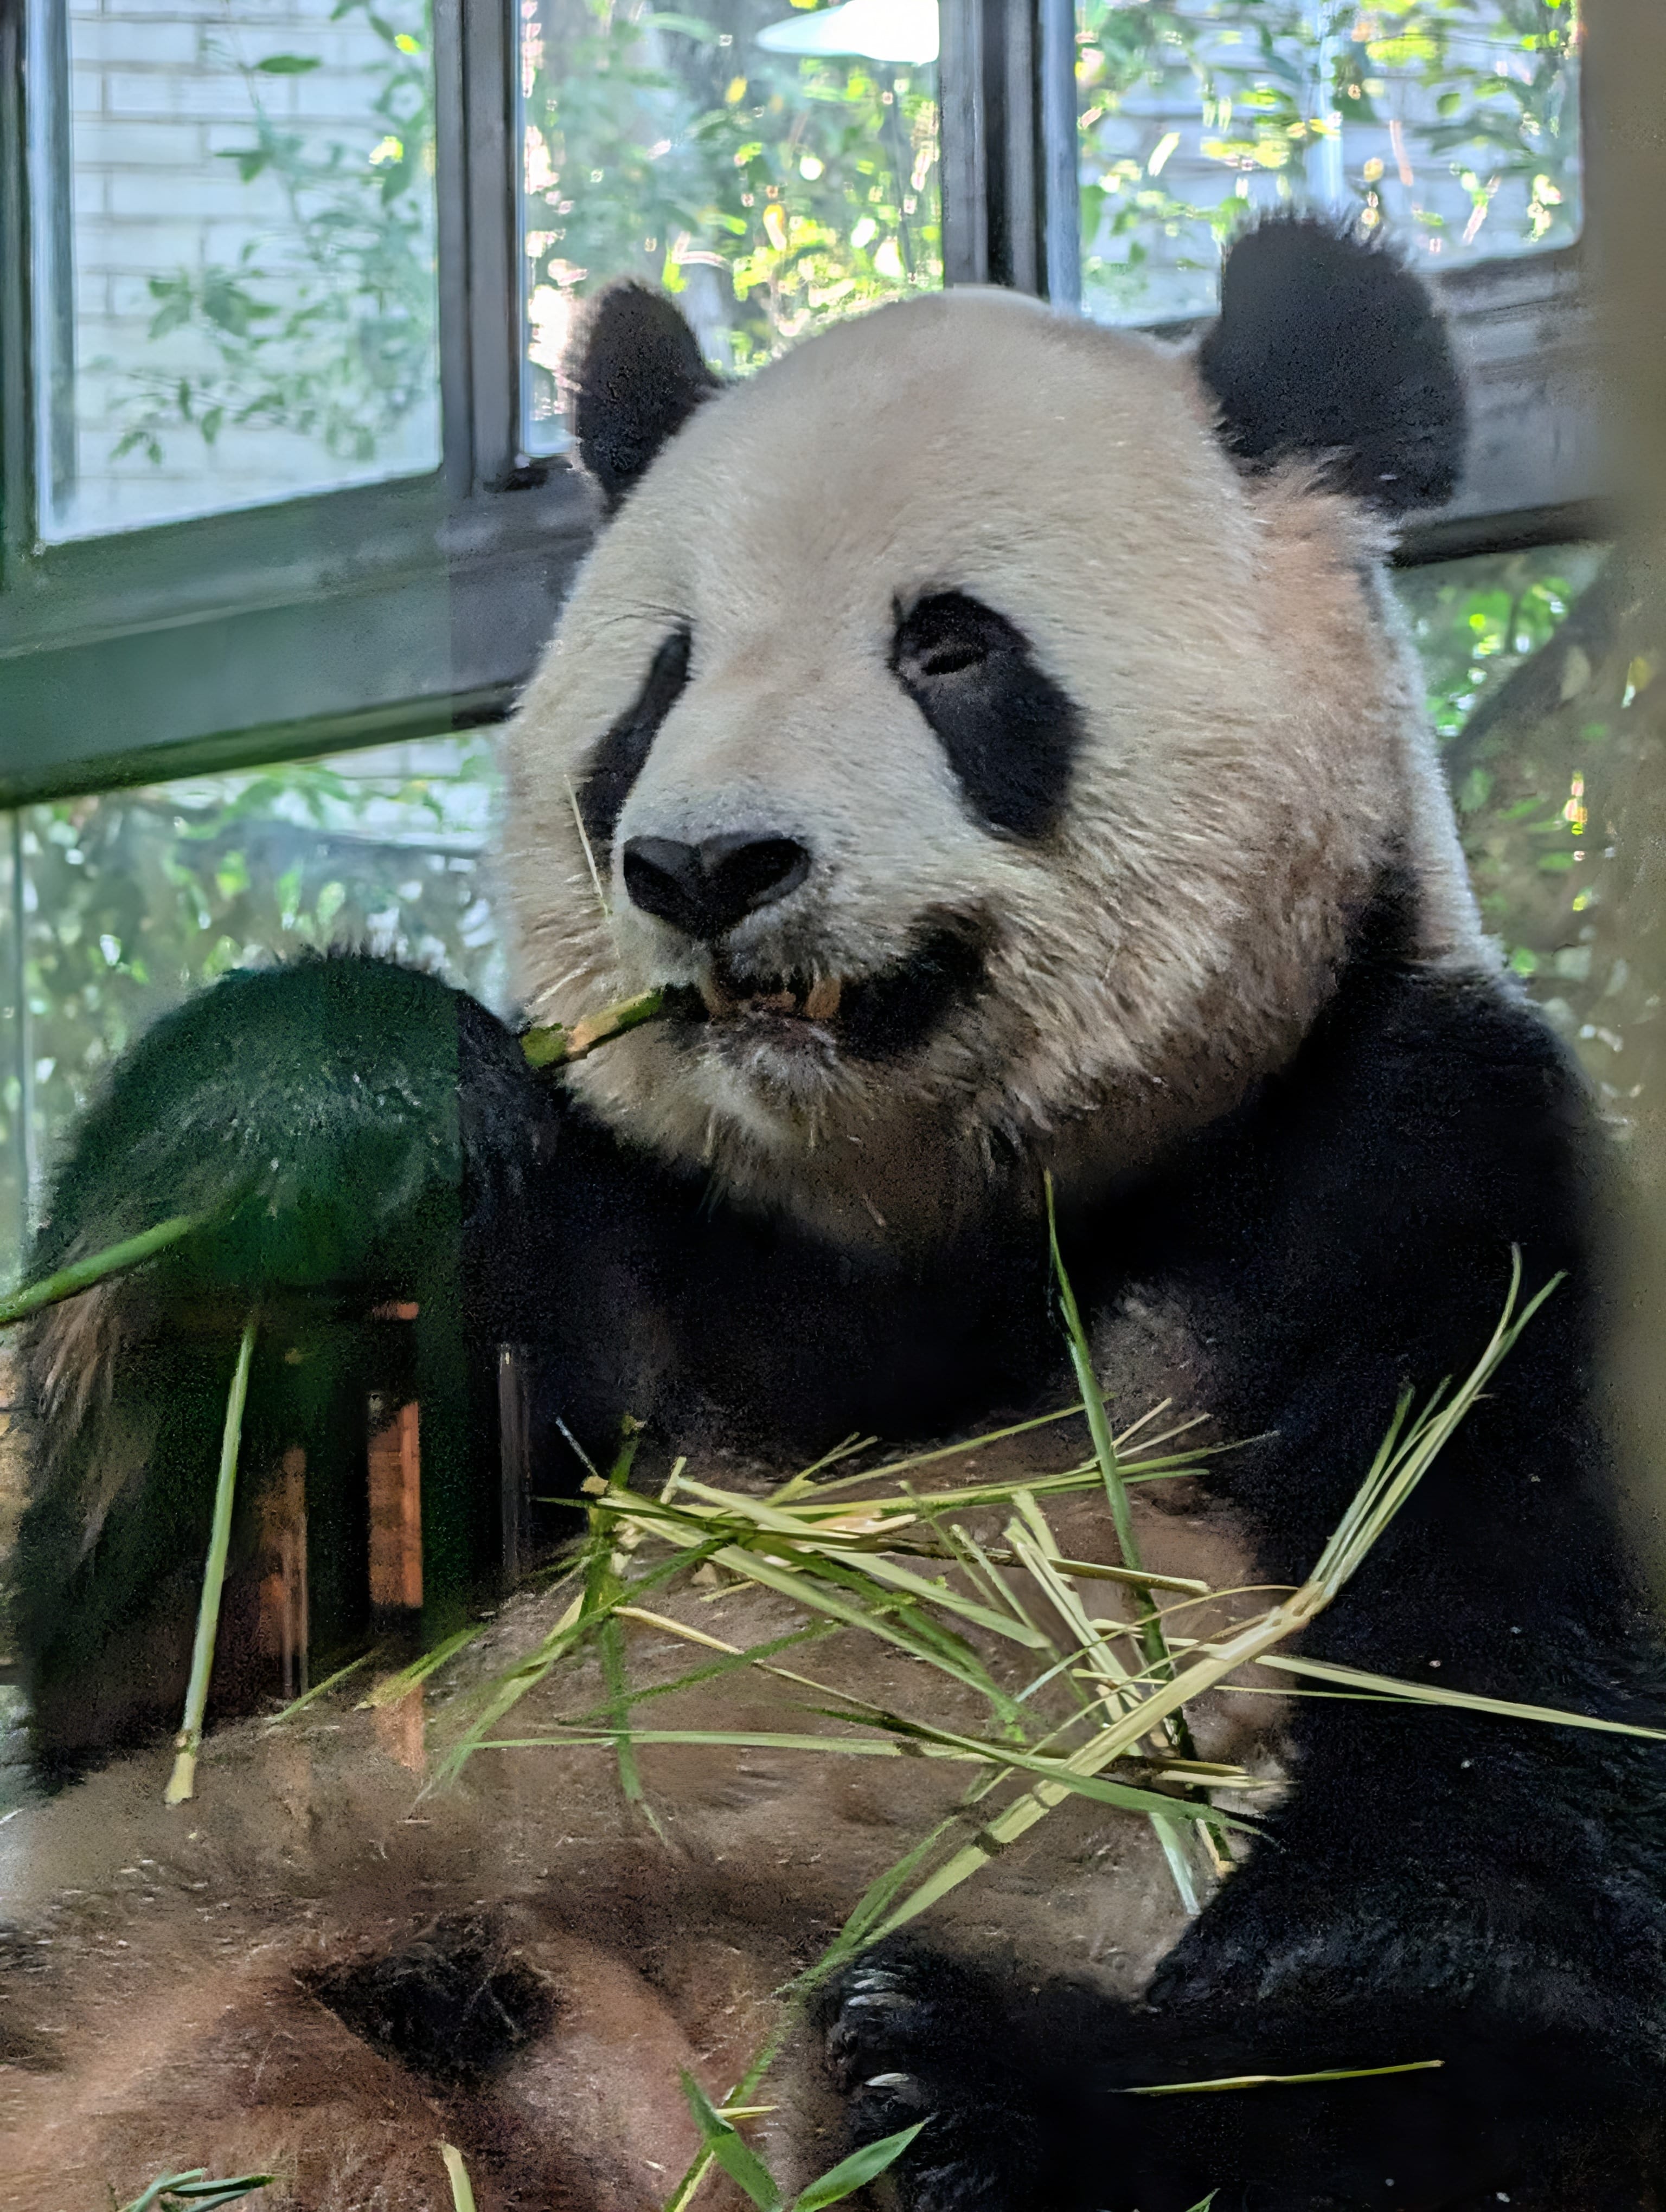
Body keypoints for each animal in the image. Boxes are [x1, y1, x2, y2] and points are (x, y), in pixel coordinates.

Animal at [5, 215, 1666, 2212]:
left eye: (949, 649)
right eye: (663, 674)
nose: (706, 866)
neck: (917, 1227)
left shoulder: (1436, 1186)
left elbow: (1504, 1872)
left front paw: (970, 2085)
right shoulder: (638, 1238)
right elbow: (180, 1667)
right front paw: (327, 1131)